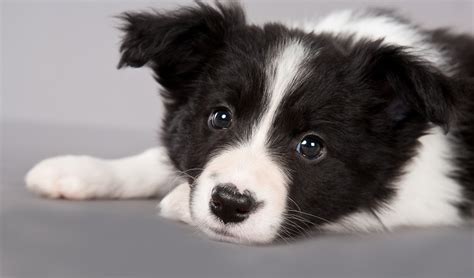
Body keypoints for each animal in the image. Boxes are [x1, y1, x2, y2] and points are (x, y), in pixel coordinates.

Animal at [26, 2, 474, 243]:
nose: (229, 204)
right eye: (220, 117)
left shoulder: (434, 196)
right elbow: (163, 155)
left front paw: (178, 201)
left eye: (311, 146)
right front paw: (80, 170)